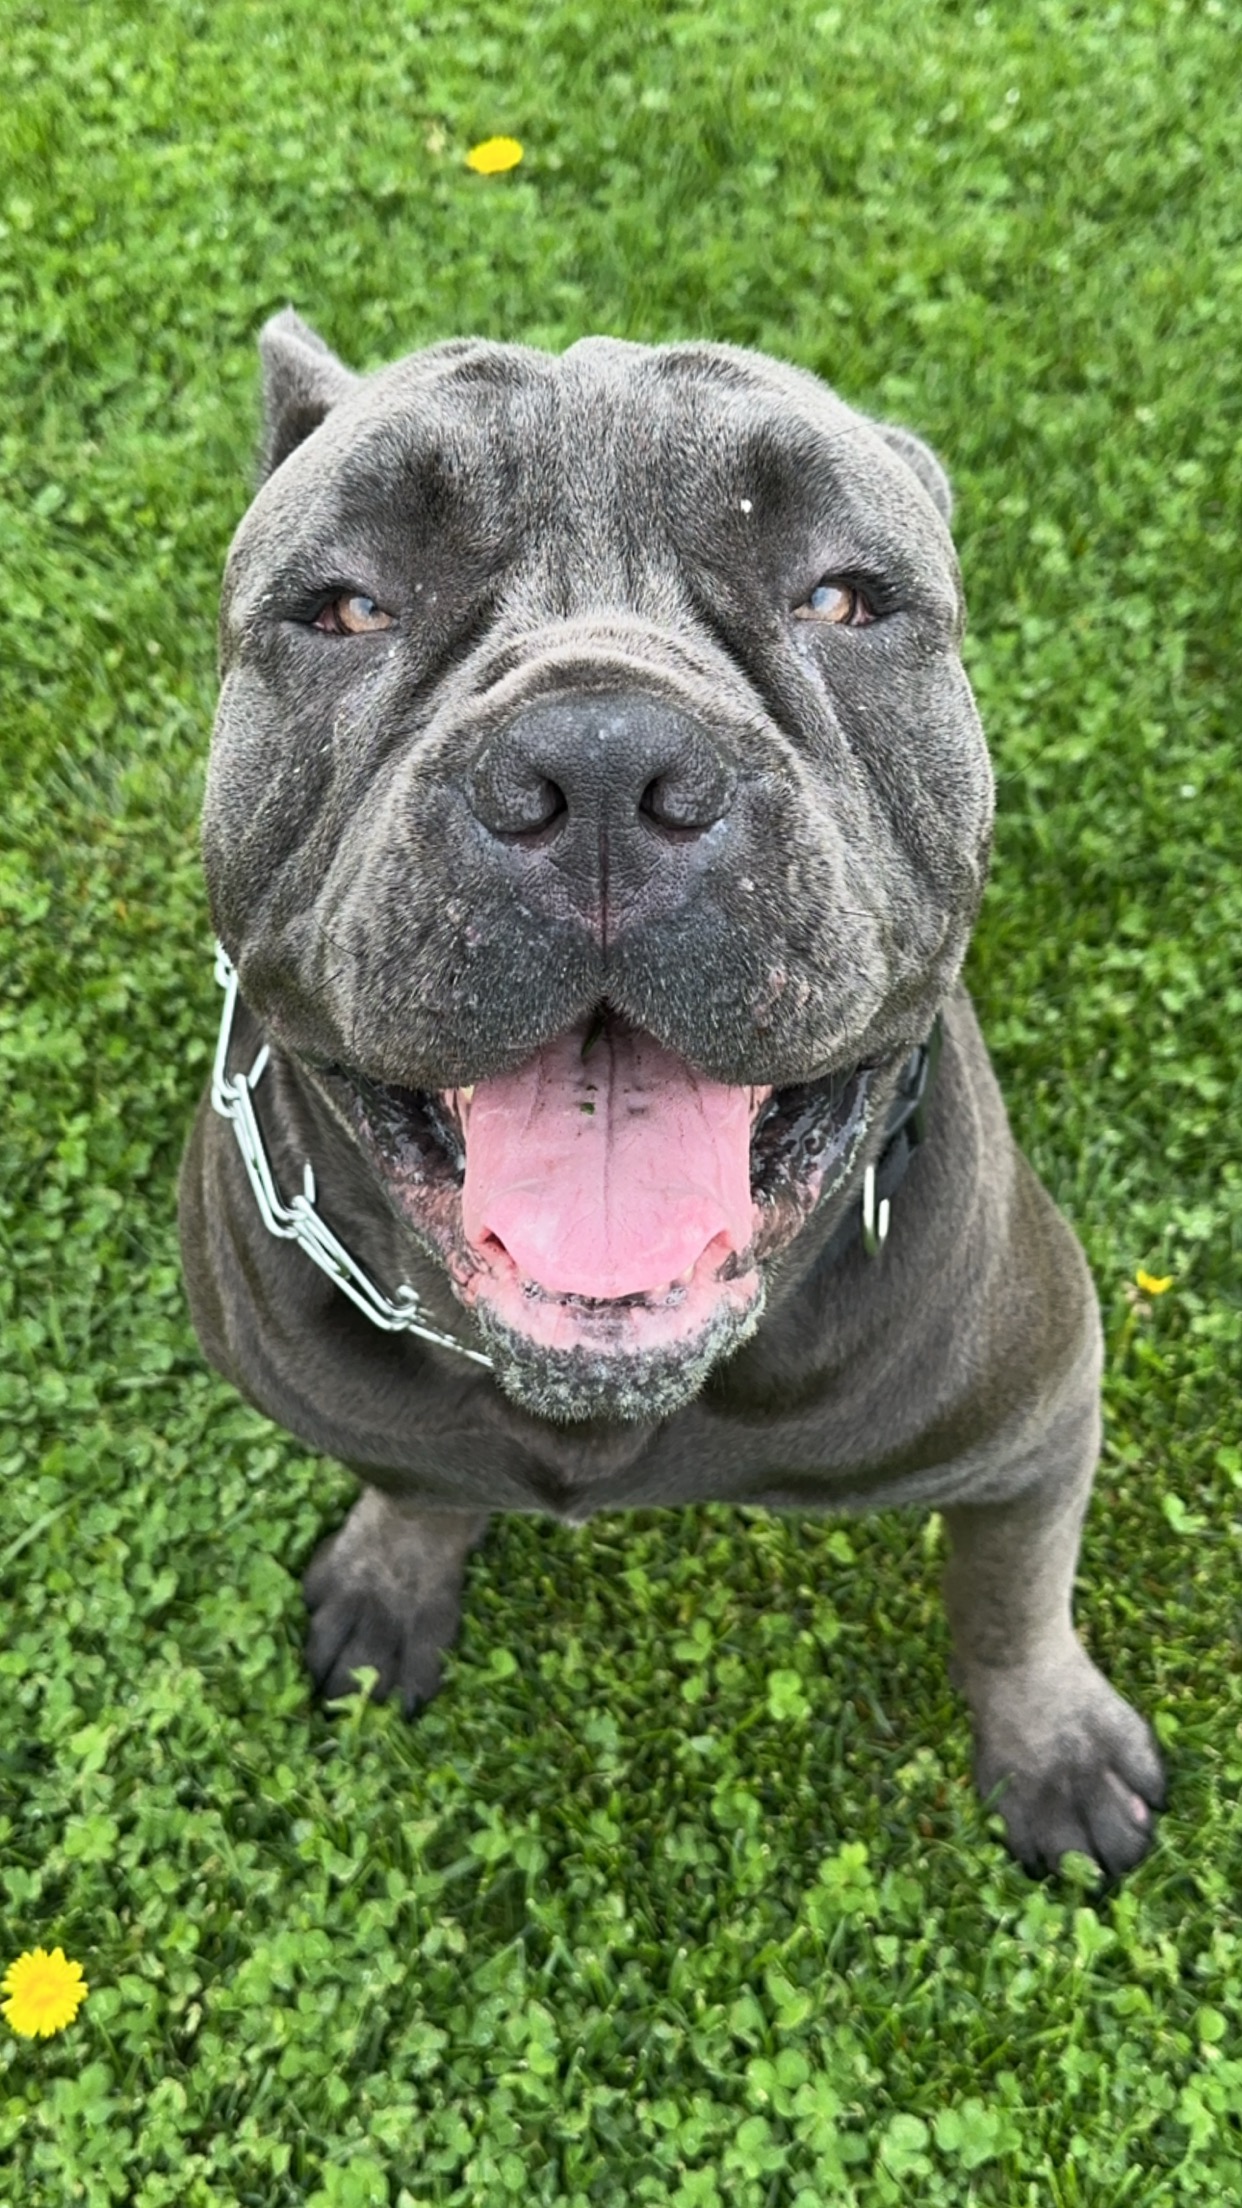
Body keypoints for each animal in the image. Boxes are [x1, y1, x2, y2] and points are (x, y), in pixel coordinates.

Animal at [179, 310, 1164, 1877]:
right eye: (344, 608)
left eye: (842, 597)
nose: (597, 763)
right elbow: (415, 1475)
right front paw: (398, 1574)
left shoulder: (1036, 1426)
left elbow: (1011, 1603)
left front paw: (1057, 1751)